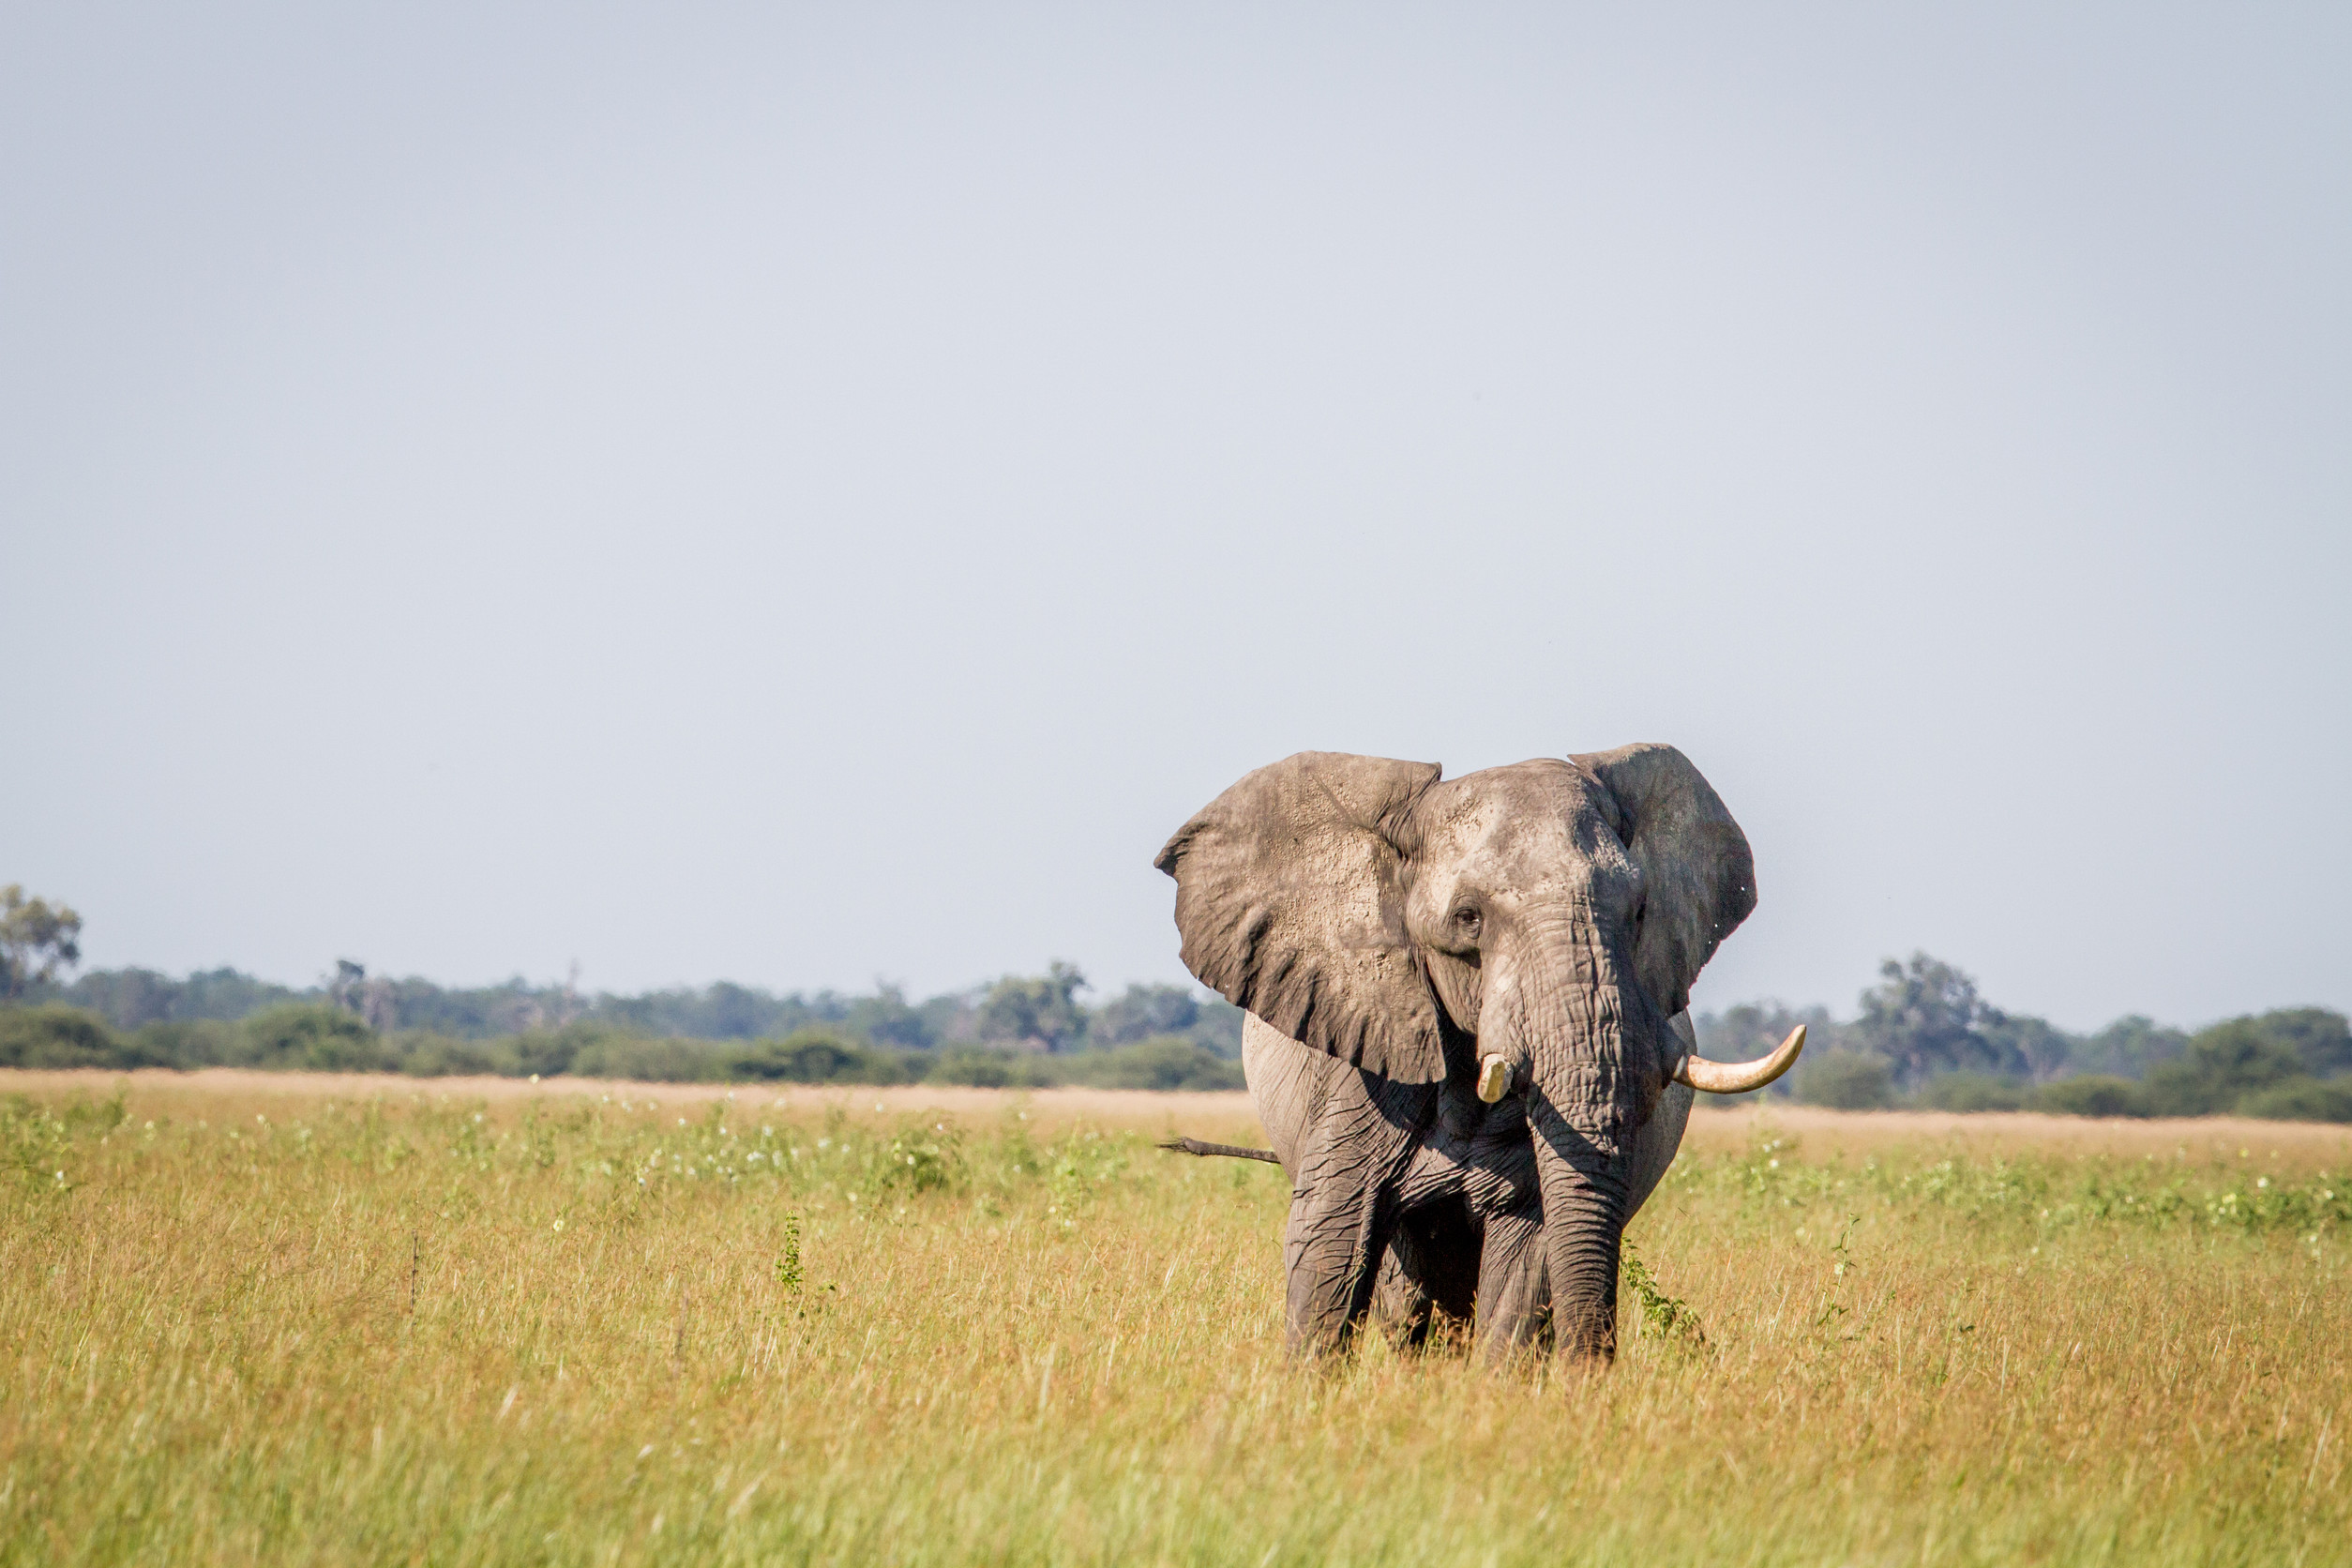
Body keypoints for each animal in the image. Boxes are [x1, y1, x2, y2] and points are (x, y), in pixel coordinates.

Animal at [1152, 747, 1797, 1363]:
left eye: (1640, 912)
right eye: (1468, 918)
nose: (1592, 1374)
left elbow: (1525, 1265)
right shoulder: (1360, 1071)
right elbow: (1332, 1240)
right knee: (1404, 1294)